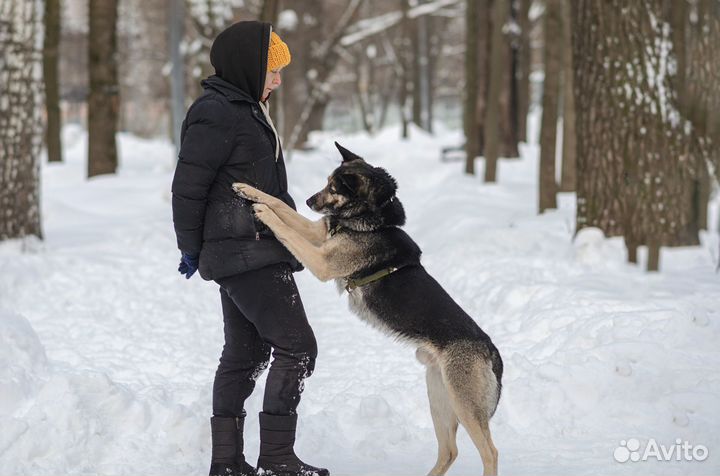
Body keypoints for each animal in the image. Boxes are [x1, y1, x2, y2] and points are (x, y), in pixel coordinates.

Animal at [233, 142, 504, 476]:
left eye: (334, 187)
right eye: (326, 182)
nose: (309, 200)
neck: (372, 218)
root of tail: (491, 351)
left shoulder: (321, 260)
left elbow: (286, 227)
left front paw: (263, 213)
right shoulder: (318, 233)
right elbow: (283, 209)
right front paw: (248, 190)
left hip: (463, 404)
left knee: (490, 452)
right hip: (440, 397)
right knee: (449, 451)